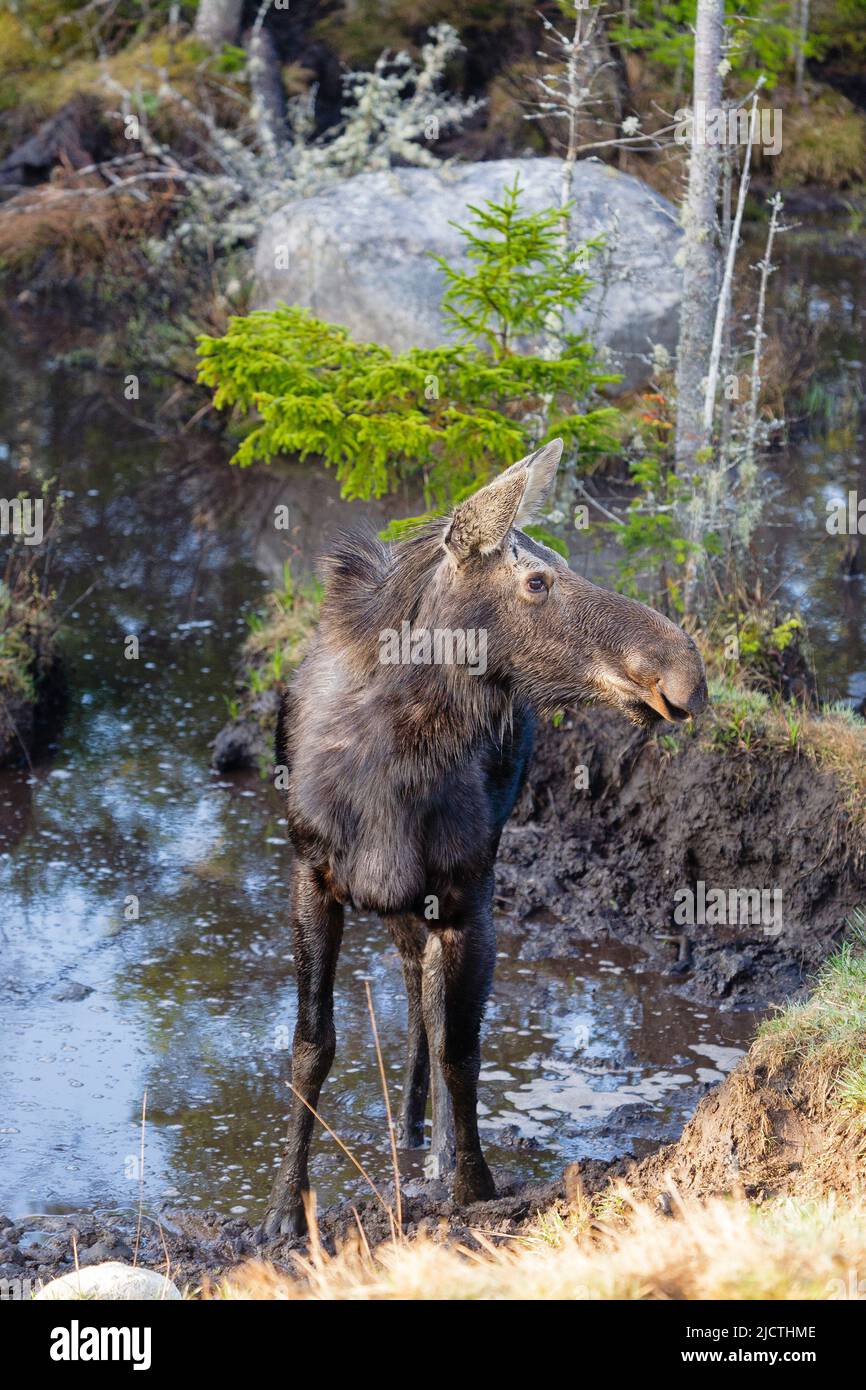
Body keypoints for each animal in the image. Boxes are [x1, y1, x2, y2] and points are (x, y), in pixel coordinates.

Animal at [260, 439, 708, 1239]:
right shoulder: (312, 876)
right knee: (413, 991)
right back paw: (408, 1130)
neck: (393, 761)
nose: (686, 671)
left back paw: (428, 1144)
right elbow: (312, 1044)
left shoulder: (469, 897)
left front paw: (470, 1185)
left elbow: (460, 1050)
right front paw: (286, 1209)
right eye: (537, 579)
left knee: (428, 1008)